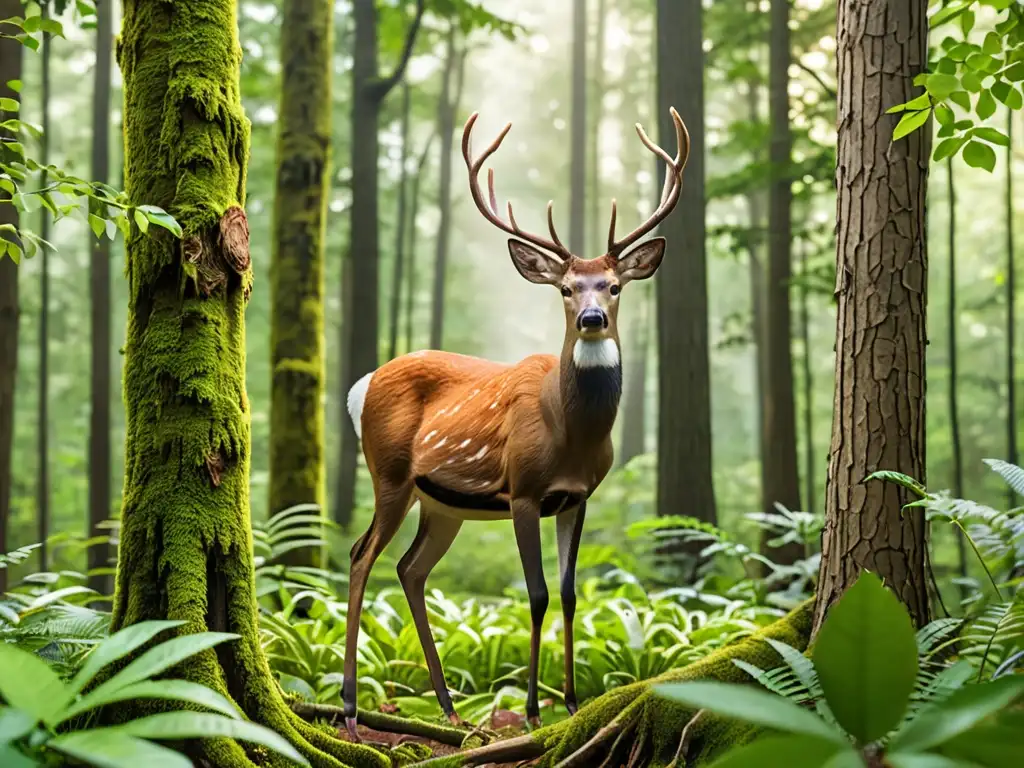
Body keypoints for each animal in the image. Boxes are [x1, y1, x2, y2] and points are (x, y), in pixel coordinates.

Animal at [342, 105, 688, 737]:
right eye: (566, 288)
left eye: (615, 286)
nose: (594, 318)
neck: (571, 434)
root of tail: (362, 385)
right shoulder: (523, 488)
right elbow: (537, 592)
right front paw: (530, 712)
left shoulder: (578, 497)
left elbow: (572, 593)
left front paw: (571, 703)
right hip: (390, 474)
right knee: (361, 556)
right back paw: (353, 708)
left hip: (443, 504)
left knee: (409, 568)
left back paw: (451, 709)